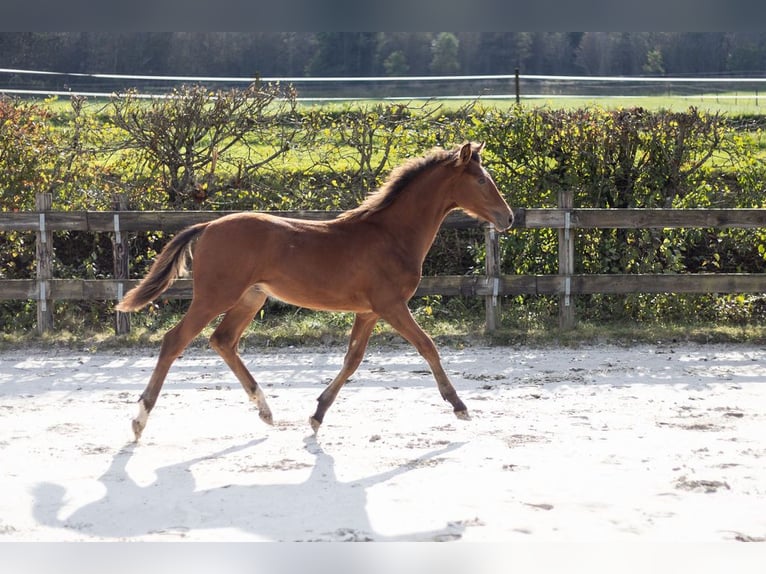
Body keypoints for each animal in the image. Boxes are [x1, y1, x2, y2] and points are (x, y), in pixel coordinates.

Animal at [118, 143, 516, 440]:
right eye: (482, 180)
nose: (508, 217)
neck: (390, 235)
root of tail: (207, 225)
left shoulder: (369, 312)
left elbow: (352, 359)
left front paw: (317, 414)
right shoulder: (391, 306)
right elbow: (427, 346)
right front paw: (459, 406)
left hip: (251, 297)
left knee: (223, 340)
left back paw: (265, 410)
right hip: (215, 296)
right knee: (175, 341)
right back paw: (139, 420)